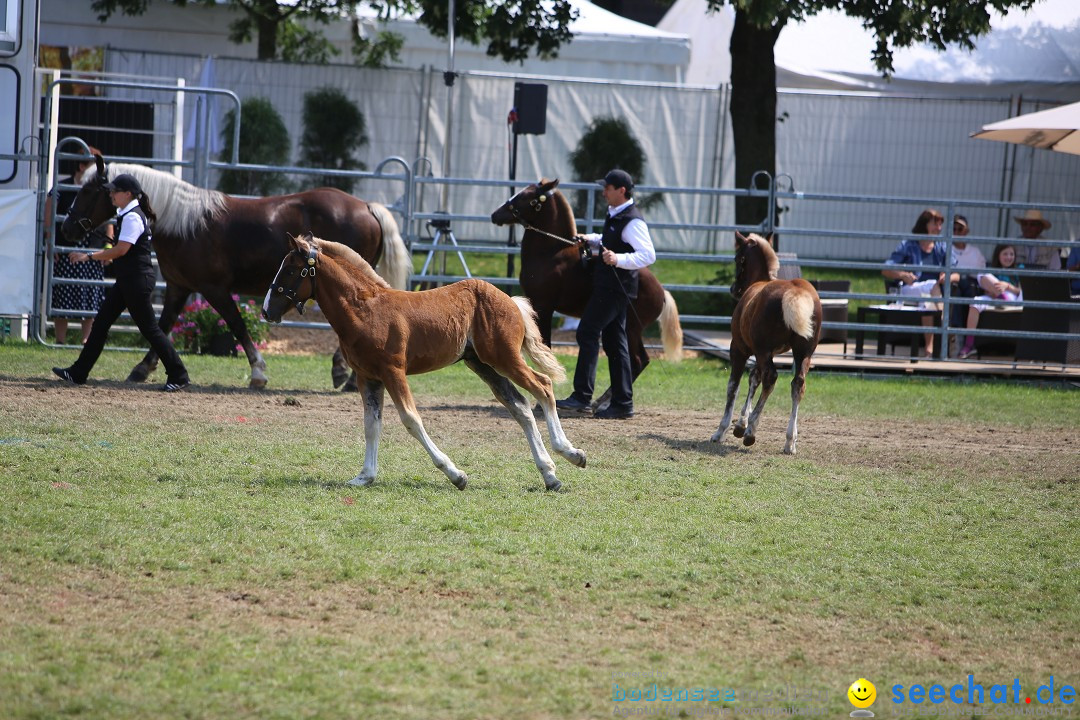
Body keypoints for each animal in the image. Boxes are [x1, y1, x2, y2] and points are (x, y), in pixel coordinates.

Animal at [61, 153, 410, 388]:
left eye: (88, 191)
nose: (68, 228)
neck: (185, 224)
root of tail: (366, 206)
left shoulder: (214, 288)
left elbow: (236, 325)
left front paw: (258, 372)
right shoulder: (178, 287)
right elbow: (163, 325)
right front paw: (143, 369)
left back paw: (345, 375)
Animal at [261, 234, 587, 492]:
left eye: (291, 269)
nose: (266, 310)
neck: (365, 309)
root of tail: (510, 300)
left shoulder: (393, 371)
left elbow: (411, 419)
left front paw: (456, 475)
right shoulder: (368, 377)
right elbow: (371, 425)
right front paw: (364, 476)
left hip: (504, 358)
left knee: (543, 387)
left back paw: (570, 453)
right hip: (482, 364)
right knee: (520, 407)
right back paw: (550, 474)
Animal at [492, 177, 682, 410]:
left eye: (527, 197)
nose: (495, 215)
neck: (551, 254)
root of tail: (662, 291)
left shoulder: (544, 307)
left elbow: (546, 345)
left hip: (632, 328)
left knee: (637, 360)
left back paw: (606, 402)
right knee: (637, 359)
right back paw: (603, 401)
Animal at [712, 234, 820, 453]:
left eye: (738, 258)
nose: (734, 289)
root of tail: (796, 292)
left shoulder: (740, 349)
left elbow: (733, 386)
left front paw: (723, 430)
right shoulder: (764, 352)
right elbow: (754, 378)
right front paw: (740, 423)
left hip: (763, 351)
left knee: (770, 378)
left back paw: (751, 432)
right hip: (803, 352)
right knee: (798, 384)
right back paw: (789, 441)